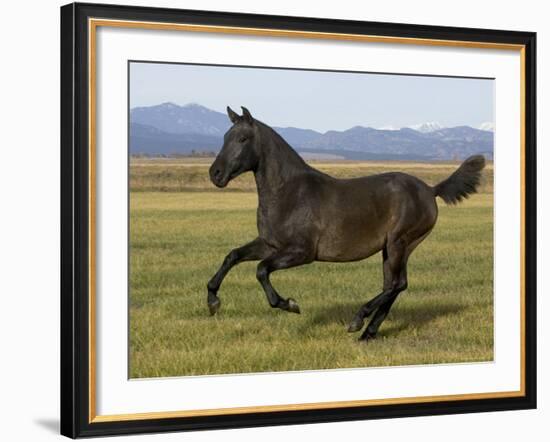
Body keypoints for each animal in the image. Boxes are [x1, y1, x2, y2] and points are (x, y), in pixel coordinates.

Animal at [207, 107, 488, 342]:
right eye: (225, 136)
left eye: (243, 139)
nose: (215, 174)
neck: (290, 193)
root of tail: (430, 190)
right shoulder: (269, 244)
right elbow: (233, 256)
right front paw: (212, 301)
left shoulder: (301, 252)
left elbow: (261, 270)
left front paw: (290, 304)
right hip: (394, 248)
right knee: (395, 285)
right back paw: (368, 333)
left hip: (399, 242)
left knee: (396, 284)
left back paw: (357, 321)